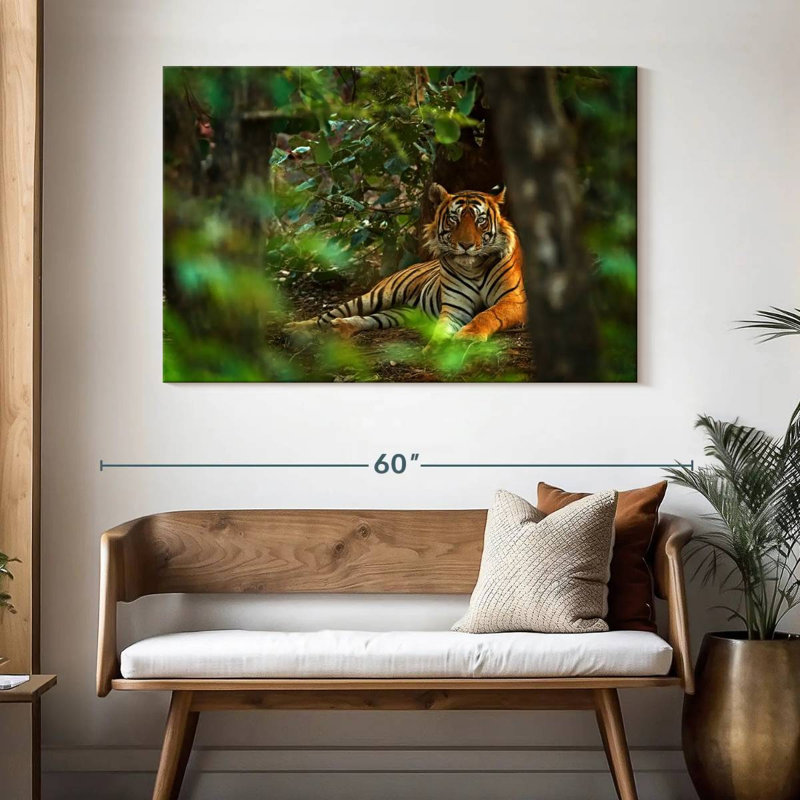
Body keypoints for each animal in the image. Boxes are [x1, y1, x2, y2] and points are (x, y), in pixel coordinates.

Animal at [284, 183, 526, 344]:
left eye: (480, 220)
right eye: (453, 219)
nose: (465, 245)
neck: (474, 267)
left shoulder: (515, 300)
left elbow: (487, 314)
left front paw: (468, 336)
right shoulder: (455, 307)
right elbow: (443, 328)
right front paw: (436, 348)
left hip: (401, 313)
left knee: (368, 319)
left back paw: (341, 327)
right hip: (377, 295)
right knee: (326, 316)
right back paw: (294, 328)